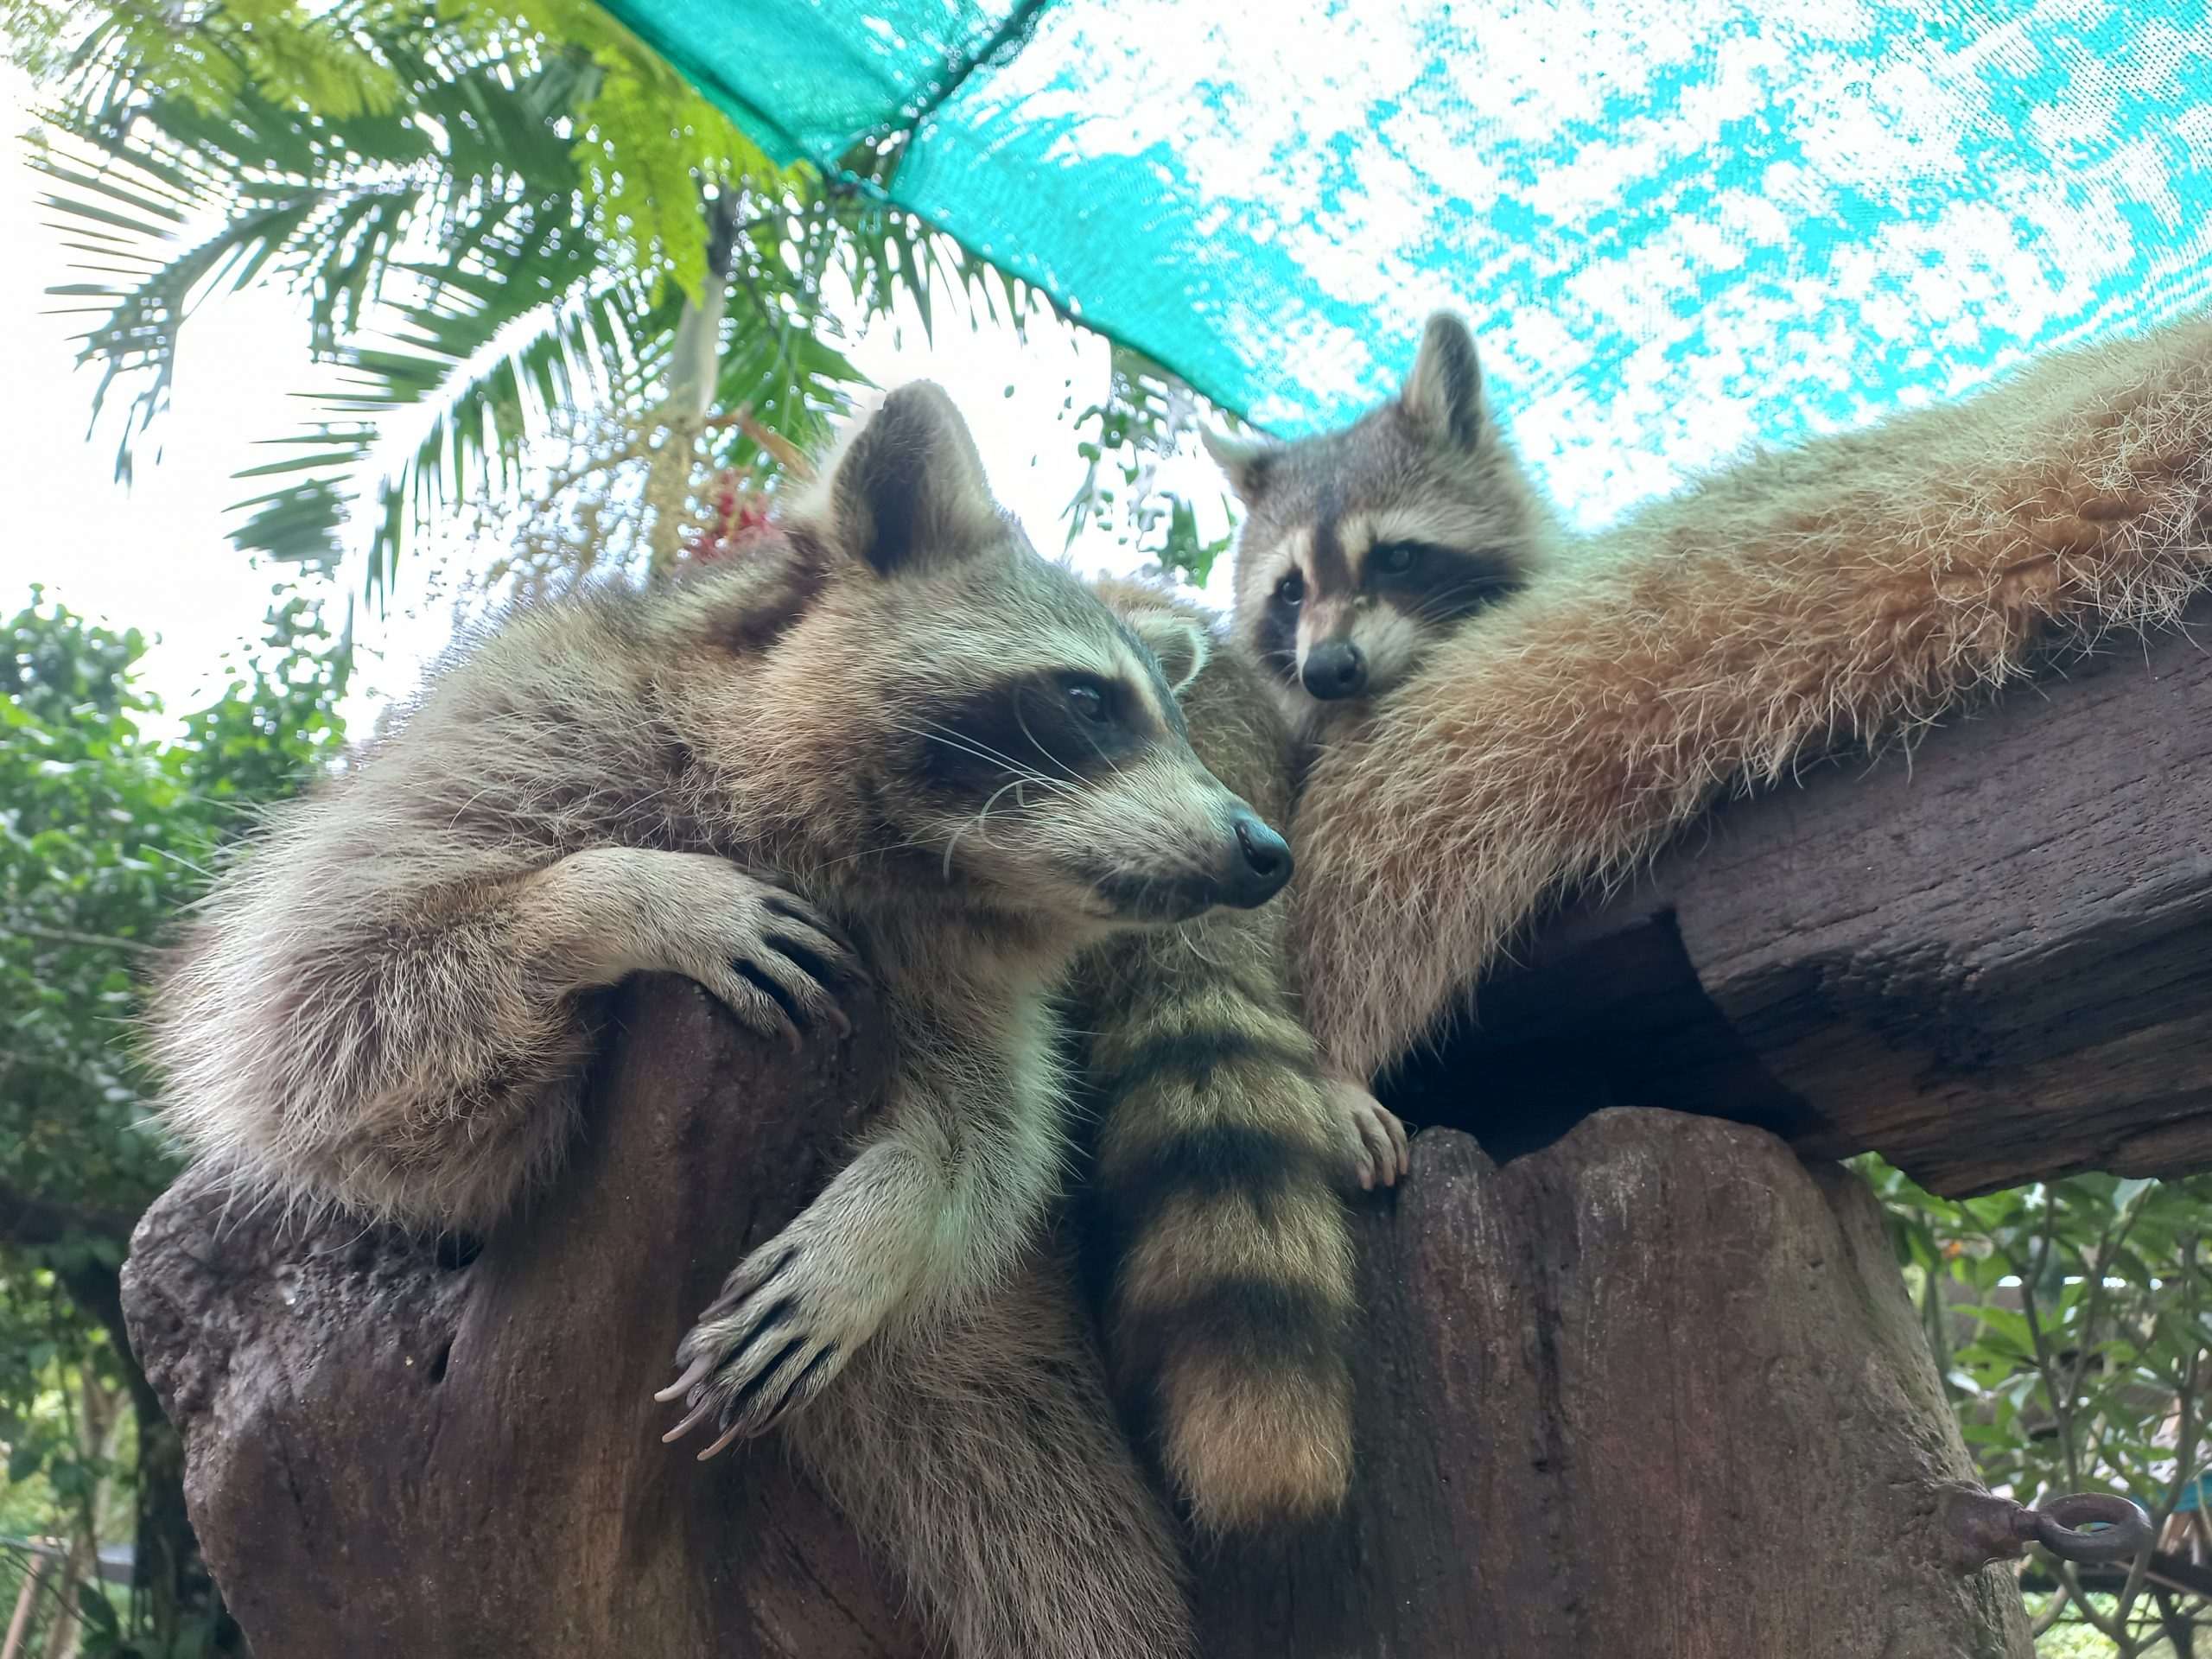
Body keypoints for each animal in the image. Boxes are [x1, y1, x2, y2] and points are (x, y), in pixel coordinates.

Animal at [151, 382, 1292, 1659]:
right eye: (1089, 700)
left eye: (1177, 725)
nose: (1266, 853)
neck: (913, 875)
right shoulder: (519, 738)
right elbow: (318, 1022)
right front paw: (618, 897)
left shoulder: (974, 995)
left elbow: (992, 1148)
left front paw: (887, 1223)